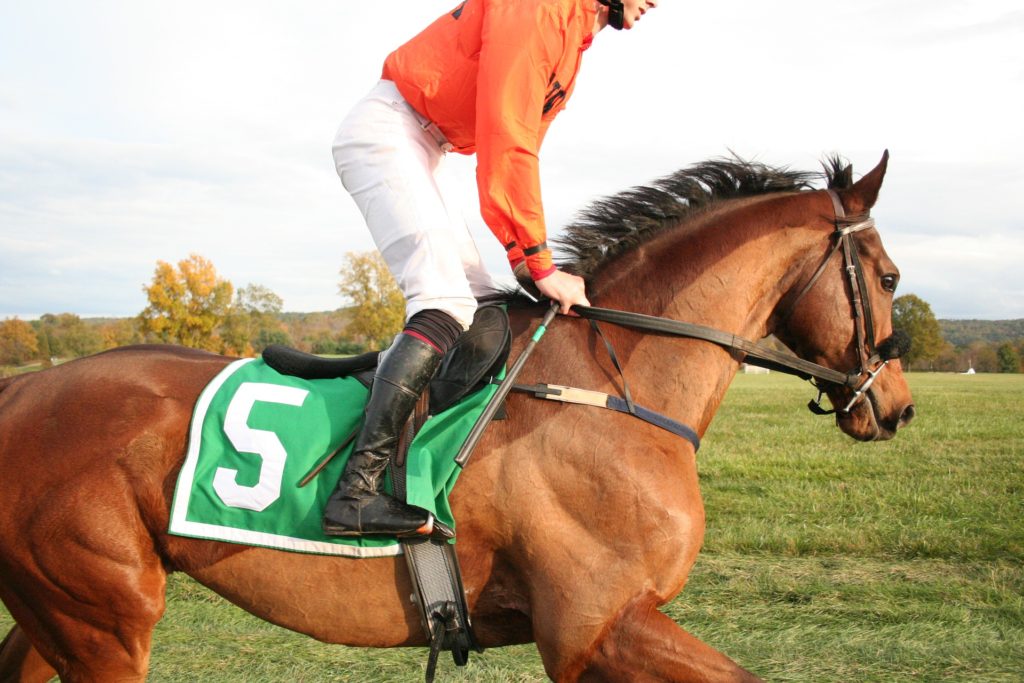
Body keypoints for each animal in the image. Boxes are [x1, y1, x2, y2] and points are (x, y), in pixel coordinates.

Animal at [0, 153, 914, 682]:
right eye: (891, 276)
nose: (897, 406)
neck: (610, 383)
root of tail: (19, 392)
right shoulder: (594, 627)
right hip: (101, 617)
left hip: (59, 613)